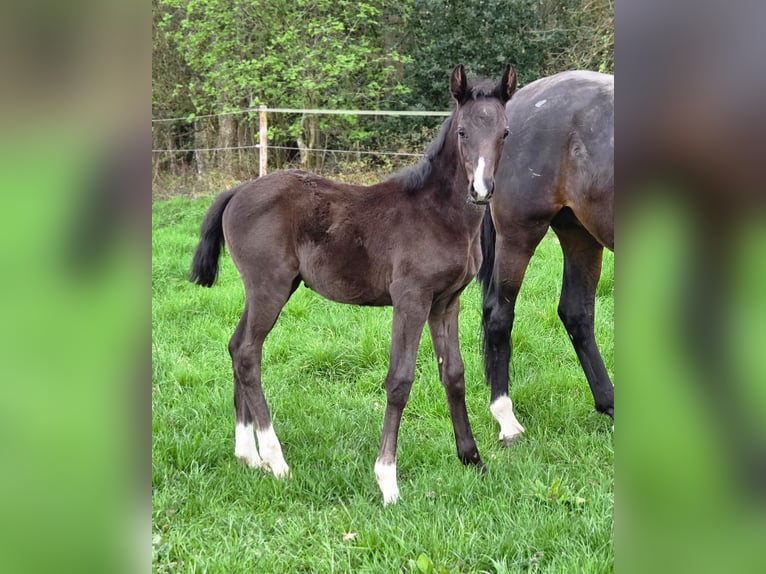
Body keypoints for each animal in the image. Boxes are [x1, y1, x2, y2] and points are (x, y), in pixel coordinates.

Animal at [189, 64, 516, 505]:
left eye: (504, 132)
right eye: (463, 131)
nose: (481, 190)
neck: (438, 214)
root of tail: (239, 190)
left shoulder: (446, 302)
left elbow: (454, 374)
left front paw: (472, 459)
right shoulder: (411, 299)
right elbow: (399, 381)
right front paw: (388, 480)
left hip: (268, 289)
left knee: (237, 345)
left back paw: (248, 455)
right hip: (269, 287)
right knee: (246, 352)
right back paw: (276, 460)